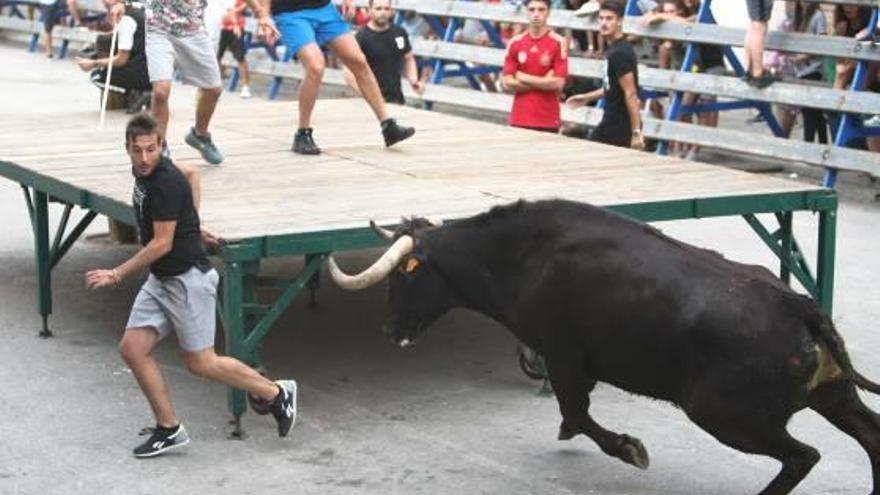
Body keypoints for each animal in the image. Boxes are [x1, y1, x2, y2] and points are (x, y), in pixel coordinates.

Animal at [326, 200, 876, 494]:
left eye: (404, 274)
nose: (390, 329)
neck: (523, 255)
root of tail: (799, 306)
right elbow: (576, 415)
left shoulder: (565, 358)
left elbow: (579, 413)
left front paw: (629, 448)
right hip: (833, 396)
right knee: (870, 435)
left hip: (725, 415)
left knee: (802, 456)